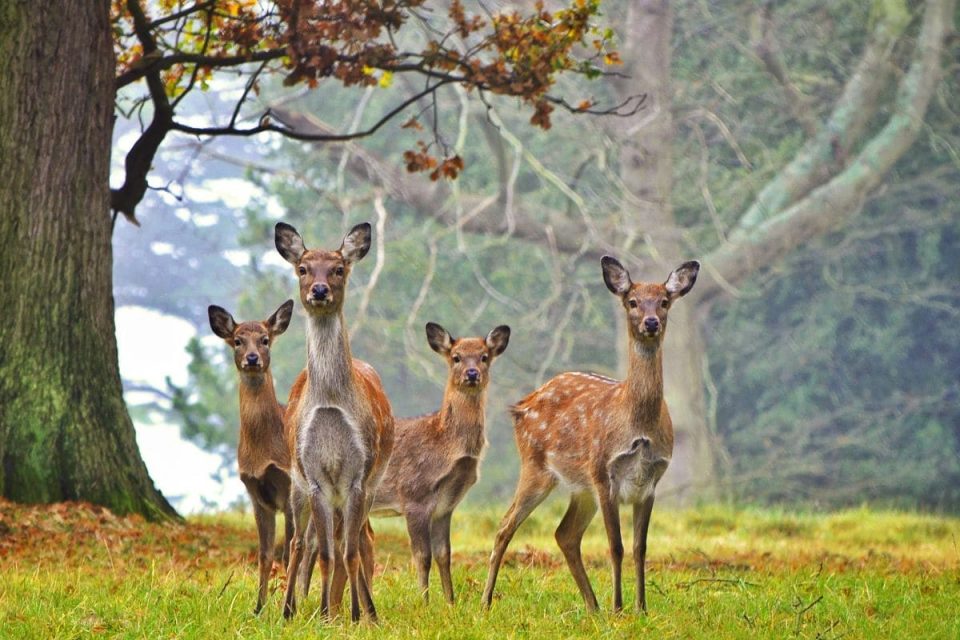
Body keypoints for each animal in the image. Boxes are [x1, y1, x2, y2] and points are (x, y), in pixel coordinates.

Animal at [209, 300, 296, 616]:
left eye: (265, 339)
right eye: (237, 340)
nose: (252, 358)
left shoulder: (290, 486)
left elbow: (288, 552)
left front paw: (289, 609)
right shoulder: (256, 494)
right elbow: (265, 554)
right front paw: (259, 608)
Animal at [276, 222, 396, 624]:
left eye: (339, 268)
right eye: (303, 268)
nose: (319, 290)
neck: (330, 404)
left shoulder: (359, 472)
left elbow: (349, 549)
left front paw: (357, 615)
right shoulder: (314, 475)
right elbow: (327, 551)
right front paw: (325, 612)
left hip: (370, 483)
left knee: (360, 539)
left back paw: (367, 609)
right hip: (296, 481)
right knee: (300, 541)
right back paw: (288, 609)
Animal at [484, 258, 700, 612]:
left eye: (665, 301)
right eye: (632, 302)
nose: (651, 322)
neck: (638, 426)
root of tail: (521, 406)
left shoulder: (651, 481)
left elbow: (640, 548)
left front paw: (641, 608)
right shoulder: (603, 473)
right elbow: (617, 546)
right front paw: (619, 608)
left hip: (580, 487)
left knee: (565, 534)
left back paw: (592, 606)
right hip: (536, 466)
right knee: (505, 525)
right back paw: (485, 602)